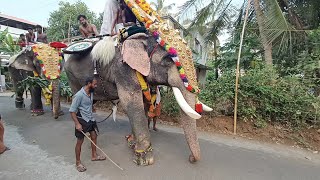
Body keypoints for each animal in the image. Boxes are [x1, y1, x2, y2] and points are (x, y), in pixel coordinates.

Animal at [63, 33, 211, 166]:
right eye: (168, 59)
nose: (191, 159)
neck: (142, 39)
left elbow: (143, 103)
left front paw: (133, 144)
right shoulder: (123, 69)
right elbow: (131, 102)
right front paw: (145, 159)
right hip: (72, 79)